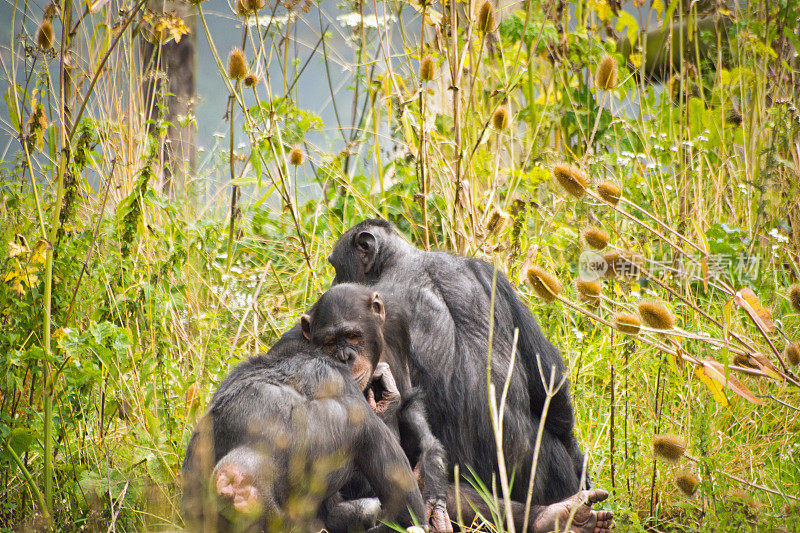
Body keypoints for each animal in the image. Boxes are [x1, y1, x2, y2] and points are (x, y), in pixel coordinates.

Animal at [300, 282, 454, 528]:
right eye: (330, 342)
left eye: (352, 336)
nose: (345, 356)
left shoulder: (399, 323)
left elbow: (408, 401)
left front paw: (431, 473)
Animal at [324, 218, 612, 528]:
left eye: (335, 265)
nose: (334, 285)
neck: (403, 260)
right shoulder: (492, 274)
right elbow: (547, 377)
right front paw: (581, 464)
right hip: (546, 468)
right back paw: (559, 515)